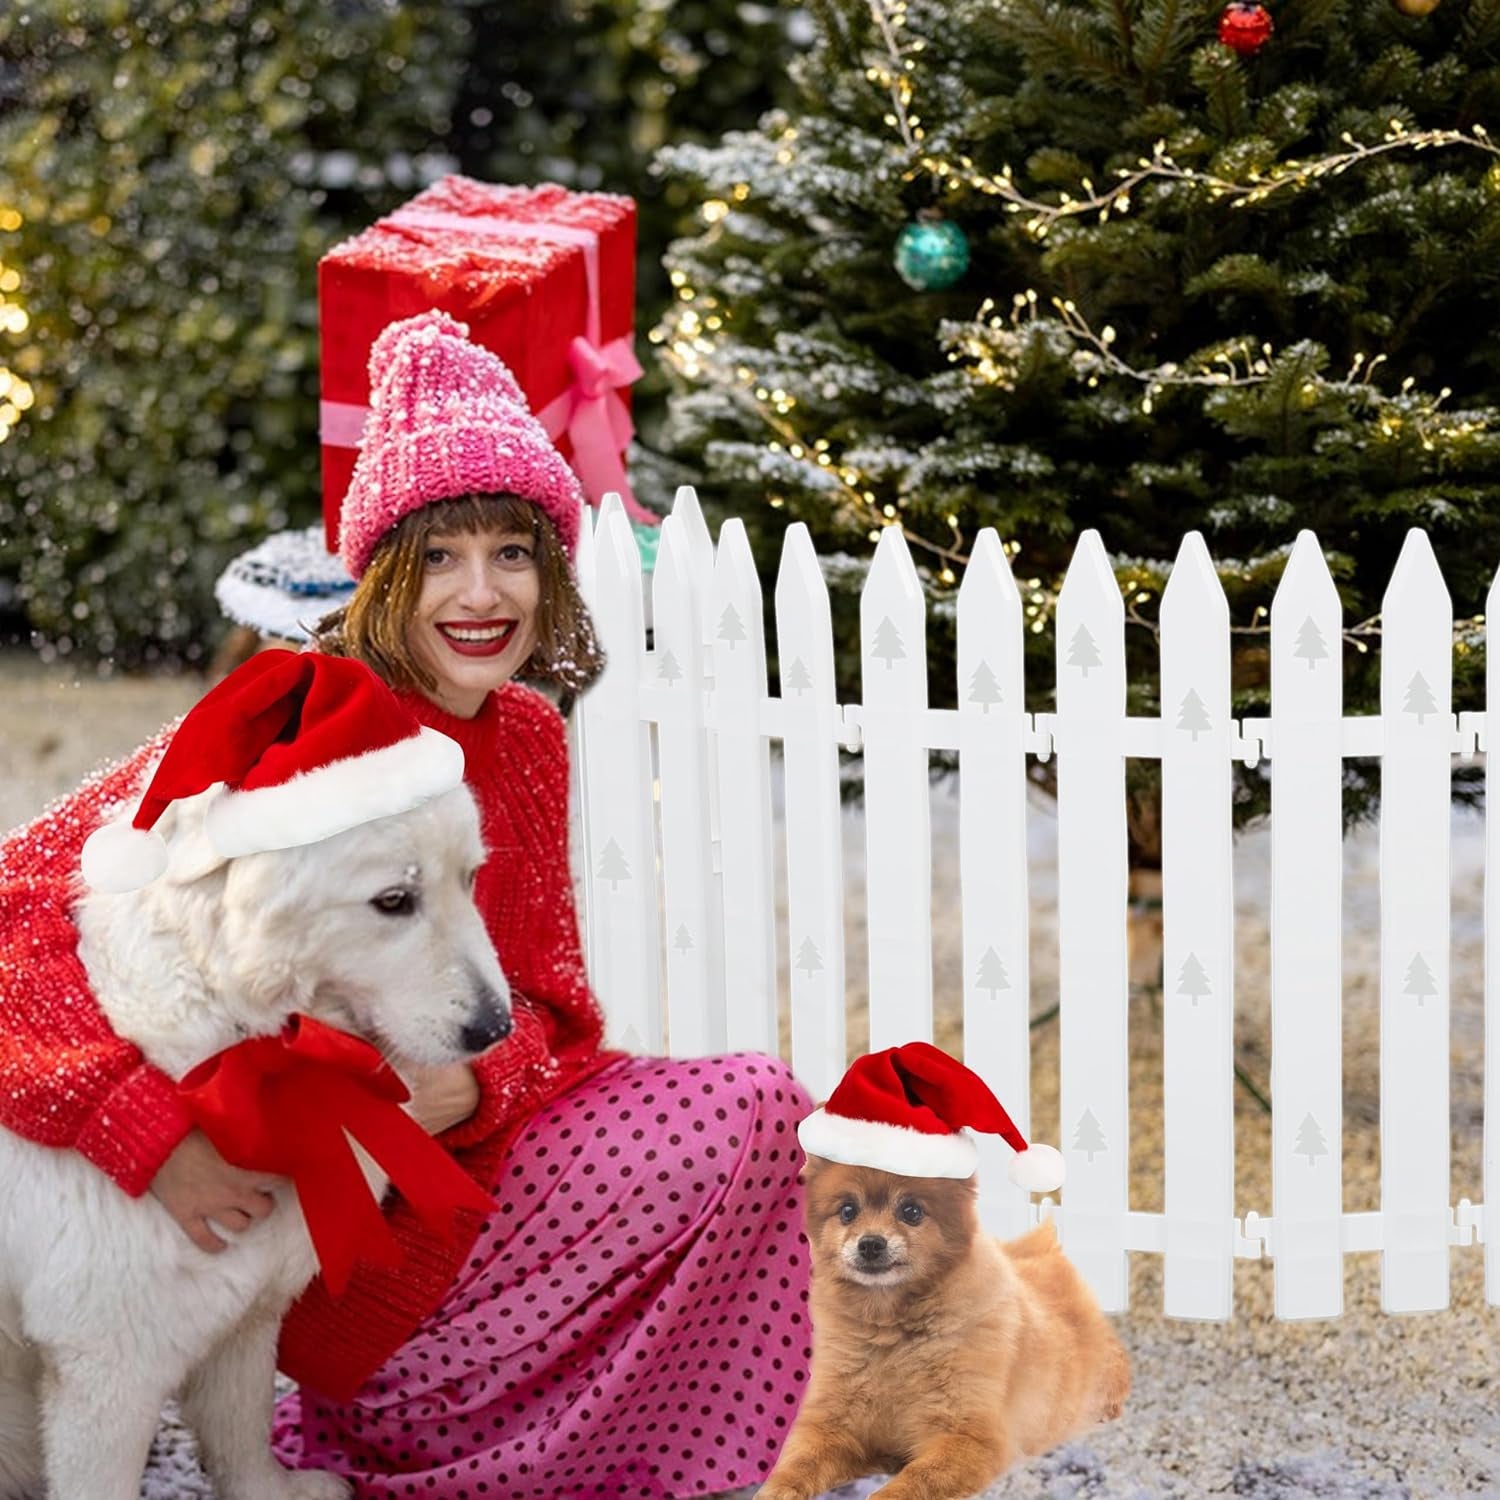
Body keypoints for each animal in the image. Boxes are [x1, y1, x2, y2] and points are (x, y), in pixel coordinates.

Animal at [0, 786, 510, 1500]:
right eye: (393, 900)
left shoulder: (246, 1313)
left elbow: (242, 1426)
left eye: (469, 878)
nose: (496, 1028)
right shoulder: (106, 1360)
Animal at [762, 1158, 1128, 1500]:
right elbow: (798, 1463)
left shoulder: (968, 1437)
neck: (891, 1336)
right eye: (848, 1211)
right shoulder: (833, 1426)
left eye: (911, 1211)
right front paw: (776, 1489)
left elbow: (915, 1479)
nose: (870, 1243)